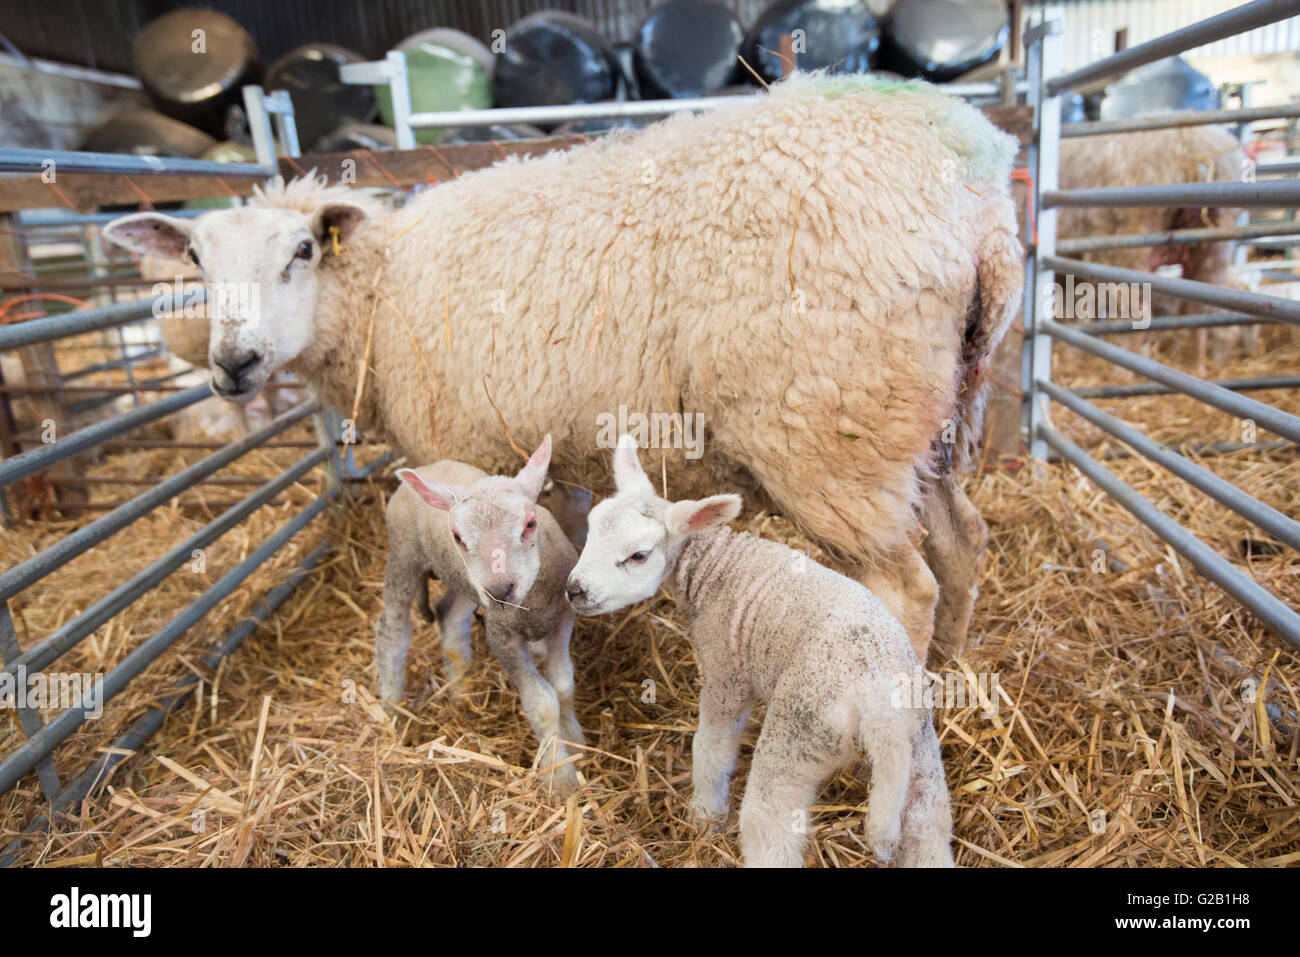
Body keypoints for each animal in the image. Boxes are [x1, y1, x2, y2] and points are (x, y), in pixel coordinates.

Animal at [102, 73, 1025, 663]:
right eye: (195, 258)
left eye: (300, 252)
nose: (233, 363)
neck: (381, 292)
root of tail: (977, 187)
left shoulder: (460, 450)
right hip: (928, 415)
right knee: (964, 540)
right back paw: (950, 667)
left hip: (834, 431)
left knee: (904, 586)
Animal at [377, 434, 584, 790]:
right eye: (457, 536)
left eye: (531, 523)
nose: (500, 591)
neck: (531, 601)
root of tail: (428, 468)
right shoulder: (502, 636)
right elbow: (543, 703)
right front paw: (561, 779)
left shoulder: (561, 621)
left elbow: (563, 686)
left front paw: (576, 742)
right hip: (405, 553)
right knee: (392, 626)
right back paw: (391, 703)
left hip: (465, 583)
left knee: (450, 616)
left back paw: (460, 692)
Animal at [566, 436, 954, 867]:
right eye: (590, 531)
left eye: (638, 555)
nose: (573, 590)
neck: (715, 566)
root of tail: (879, 707)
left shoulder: (726, 671)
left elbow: (711, 749)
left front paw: (705, 816)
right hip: (918, 749)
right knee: (928, 826)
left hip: (800, 733)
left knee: (770, 823)